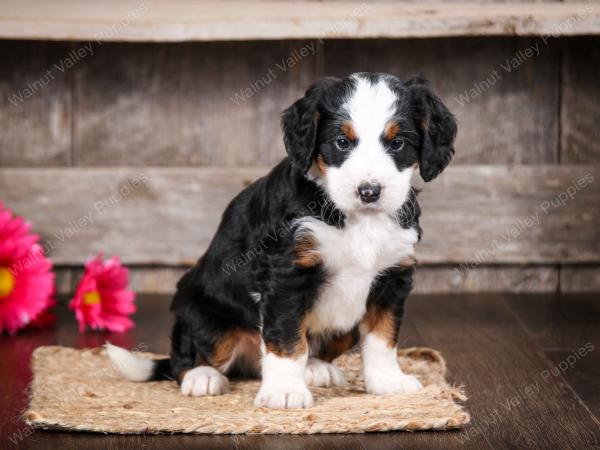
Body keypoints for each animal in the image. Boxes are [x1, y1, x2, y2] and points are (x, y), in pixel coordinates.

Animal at [108, 72, 454, 410]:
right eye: (341, 142)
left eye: (397, 143)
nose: (369, 191)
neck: (356, 218)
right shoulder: (287, 273)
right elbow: (287, 339)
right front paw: (285, 391)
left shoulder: (392, 275)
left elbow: (383, 337)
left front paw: (388, 381)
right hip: (203, 314)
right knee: (185, 356)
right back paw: (202, 376)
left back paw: (317, 369)